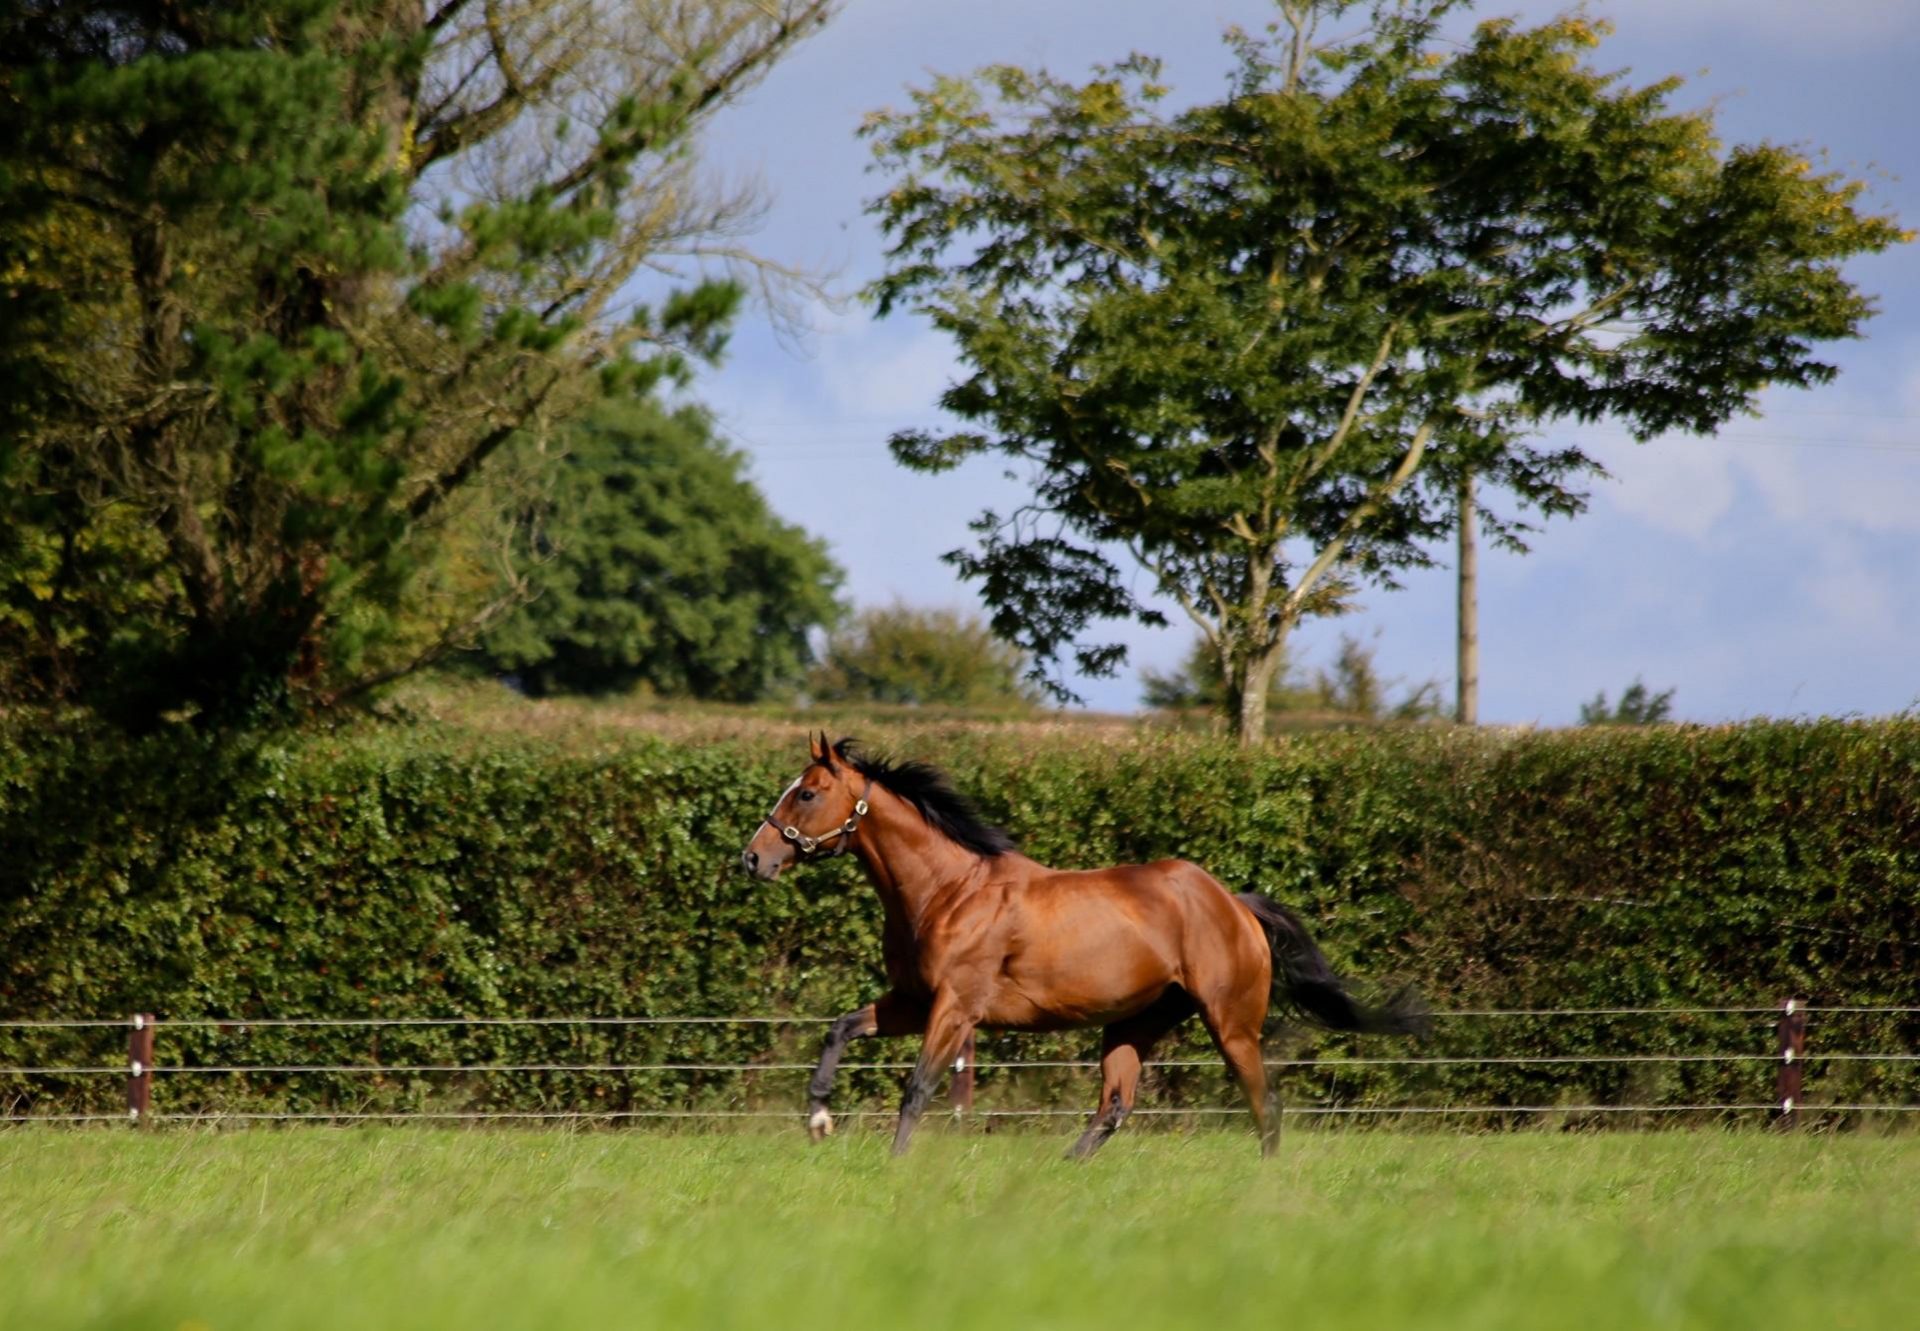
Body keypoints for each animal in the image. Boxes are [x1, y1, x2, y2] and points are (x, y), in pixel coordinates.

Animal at [733, 733, 1428, 1160]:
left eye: (807, 792)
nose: (753, 859)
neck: (947, 890)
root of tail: (1236, 905)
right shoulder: (913, 1000)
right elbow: (841, 1028)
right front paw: (818, 1119)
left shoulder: (954, 1008)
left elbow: (919, 1088)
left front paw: (894, 1163)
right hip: (1134, 1023)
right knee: (1116, 1104)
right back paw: (1061, 1167)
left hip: (1229, 1023)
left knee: (1266, 1102)